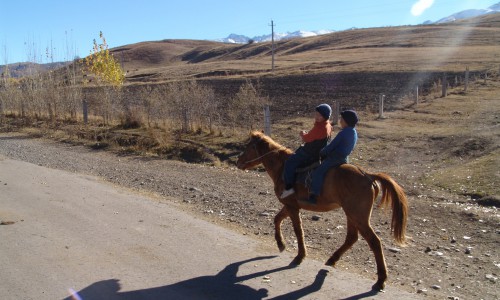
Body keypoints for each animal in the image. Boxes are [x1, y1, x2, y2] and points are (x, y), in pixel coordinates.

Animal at [236, 131, 408, 290]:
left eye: (249, 146)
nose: (238, 161)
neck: (282, 168)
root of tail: (368, 175)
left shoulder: (292, 207)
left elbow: (298, 230)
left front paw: (300, 256)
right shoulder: (290, 206)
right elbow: (277, 219)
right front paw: (281, 244)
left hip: (358, 216)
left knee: (374, 242)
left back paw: (380, 280)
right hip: (351, 215)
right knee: (352, 237)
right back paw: (333, 259)